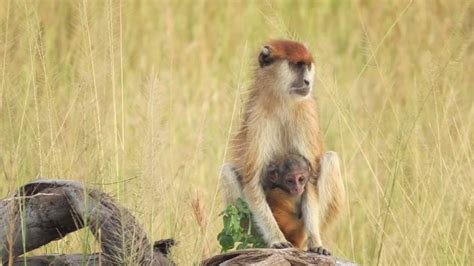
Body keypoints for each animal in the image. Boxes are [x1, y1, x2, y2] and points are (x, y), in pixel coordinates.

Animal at [220, 39, 346, 254]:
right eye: (296, 65)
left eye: (307, 66)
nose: (307, 82)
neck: (282, 101)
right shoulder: (258, 118)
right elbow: (252, 182)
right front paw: (276, 239)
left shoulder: (306, 113)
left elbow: (311, 179)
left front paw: (316, 242)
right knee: (227, 171)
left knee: (330, 159)